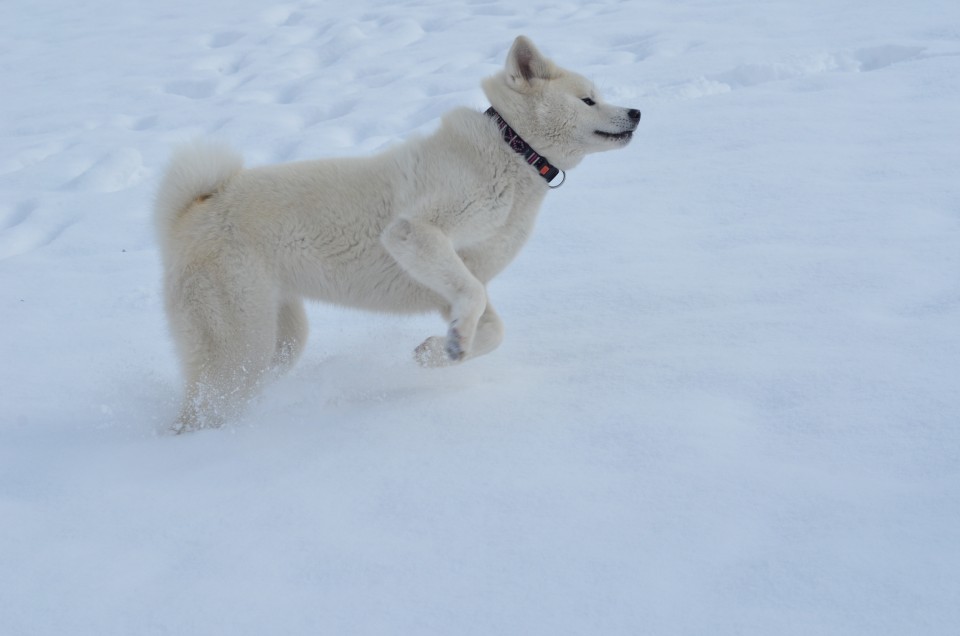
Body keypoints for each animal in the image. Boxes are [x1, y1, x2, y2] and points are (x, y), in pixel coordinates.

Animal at [156, 36, 636, 432]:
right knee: (199, 408)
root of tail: (194, 207)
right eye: (588, 99)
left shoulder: (455, 278)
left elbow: (491, 327)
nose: (636, 112)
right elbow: (474, 298)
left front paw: (440, 351)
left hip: (280, 338)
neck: (514, 151)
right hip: (240, 339)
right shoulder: (414, 232)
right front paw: (451, 346)